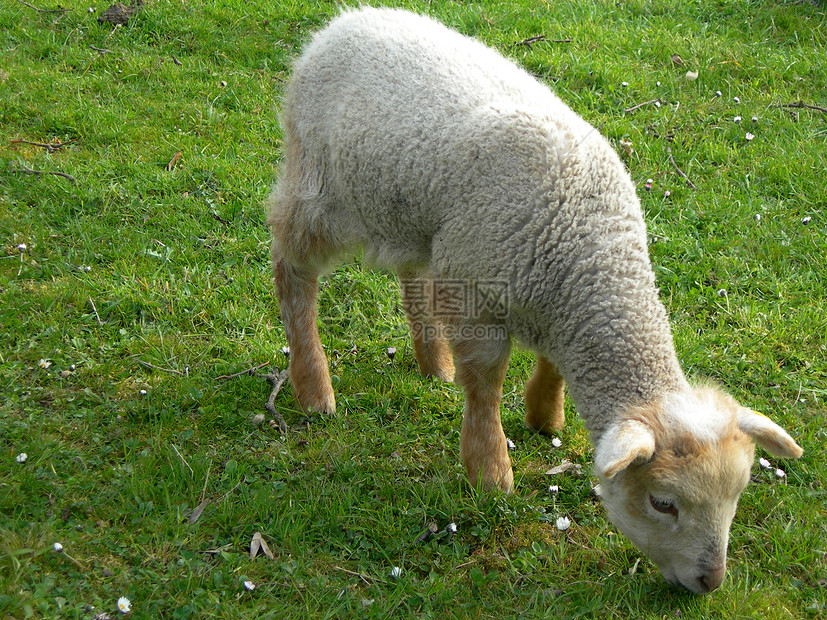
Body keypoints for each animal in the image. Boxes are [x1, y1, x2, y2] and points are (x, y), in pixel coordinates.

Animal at [268, 7, 804, 592]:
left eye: (738, 495)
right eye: (663, 503)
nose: (711, 582)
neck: (585, 254)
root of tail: (345, 22)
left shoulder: (537, 295)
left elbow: (550, 365)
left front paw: (546, 416)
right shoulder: (477, 289)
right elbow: (485, 382)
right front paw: (491, 473)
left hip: (415, 217)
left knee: (411, 274)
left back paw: (434, 363)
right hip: (322, 188)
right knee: (291, 270)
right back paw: (314, 388)